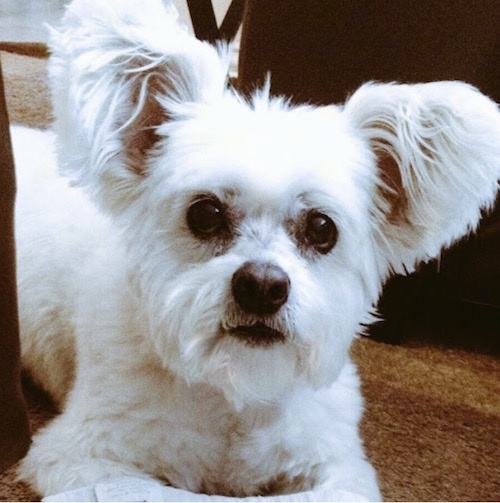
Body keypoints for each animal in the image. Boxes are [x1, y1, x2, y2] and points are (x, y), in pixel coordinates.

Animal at [13, 0, 500, 498]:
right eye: (204, 213)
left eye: (322, 228)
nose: (262, 287)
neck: (234, 393)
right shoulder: (84, 458)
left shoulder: (338, 468)